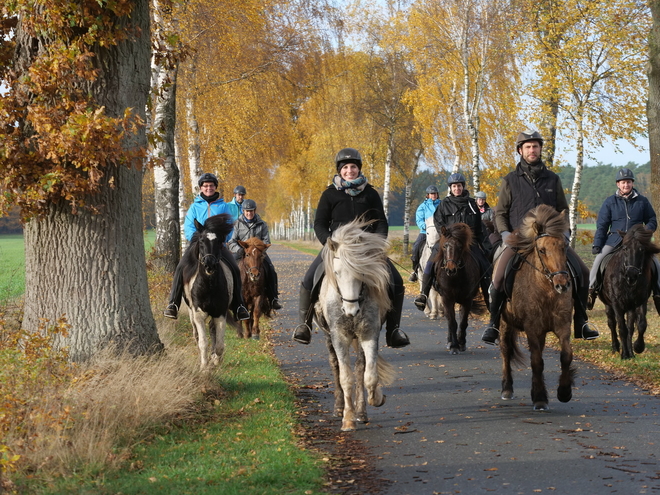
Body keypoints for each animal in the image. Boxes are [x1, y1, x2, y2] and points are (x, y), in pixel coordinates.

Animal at [182, 215, 236, 370]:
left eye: (219, 241)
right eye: (201, 241)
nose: (209, 265)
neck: (209, 286)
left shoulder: (220, 314)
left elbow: (219, 344)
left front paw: (215, 360)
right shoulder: (198, 314)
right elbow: (203, 342)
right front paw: (204, 367)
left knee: (212, 330)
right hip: (191, 312)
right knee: (196, 333)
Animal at [314, 219, 398, 432]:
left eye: (362, 272)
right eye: (336, 273)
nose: (351, 311)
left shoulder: (369, 334)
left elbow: (370, 375)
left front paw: (376, 399)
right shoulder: (339, 336)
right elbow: (345, 378)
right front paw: (347, 419)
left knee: (360, 367)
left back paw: (361, 411)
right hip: (328, 336)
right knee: (335, 366)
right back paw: (338, 408)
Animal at [430, 223, 482, 354]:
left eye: (460, 247)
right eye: (445, 246)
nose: (451, 269)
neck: (456, 277)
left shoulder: (467, 300)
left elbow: (463, 322)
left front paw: (461, 343)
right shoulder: (447, 299)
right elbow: (452, 322)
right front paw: (454, 346)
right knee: (449, 320)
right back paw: (450, 342)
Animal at [498, 205, 576, 410]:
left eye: (564, 247)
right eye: (541, 250)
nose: (562, 285)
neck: (546, 290)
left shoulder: (562, 325)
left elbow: (566, 356)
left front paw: (564, 391)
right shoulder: (532, 328)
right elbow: (536, 362)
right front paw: (540, 397)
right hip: (504, 323)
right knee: (505, 350)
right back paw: (507, 388)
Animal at [592, 225, 660, 360]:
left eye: (642, 249)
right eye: (625, 248)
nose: (631, 275)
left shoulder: (637, 302)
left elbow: (637, 325)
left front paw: (636, 349)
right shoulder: (617, 303)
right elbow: (622, 328)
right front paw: (624, 354)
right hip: (608, 304)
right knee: (612, 323)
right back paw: (615, 347)